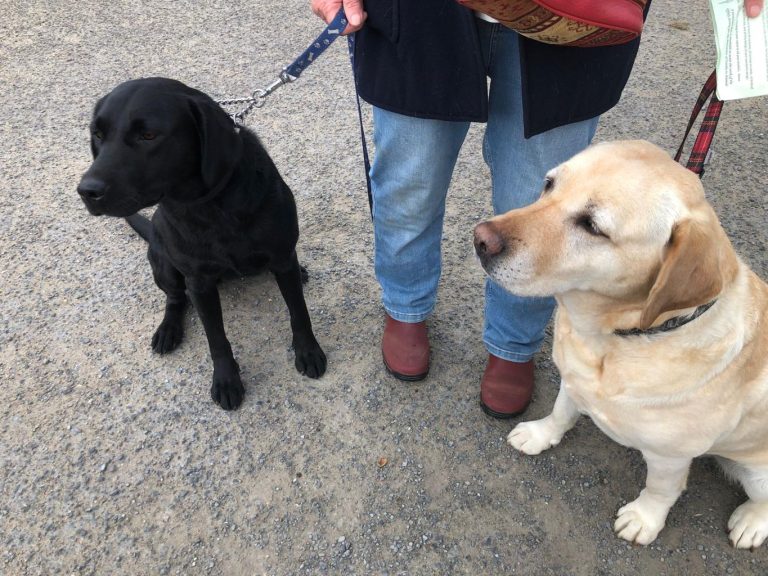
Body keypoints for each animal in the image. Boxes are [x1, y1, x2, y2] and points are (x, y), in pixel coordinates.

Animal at [78, 77, 328, 410]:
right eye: (98, 133)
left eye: (148, 135)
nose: (87, 191)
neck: (210, 205)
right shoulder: (200, 283)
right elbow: (216, 338)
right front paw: (226, 380)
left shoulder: (282, 256)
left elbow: (299, 312)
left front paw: (308, 351)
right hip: (163, 265)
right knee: (175, 298)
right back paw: (168, 330)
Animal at [474, 141, 768, 548]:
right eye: (549, 184)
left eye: (592, 226)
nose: (480, 239)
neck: (615, 340)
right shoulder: (575, 380)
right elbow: (561, 413)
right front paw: (540, 434)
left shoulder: (669, 456)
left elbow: (661, 489)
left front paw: (644, 519)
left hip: (758, 474)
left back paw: (751, 522)